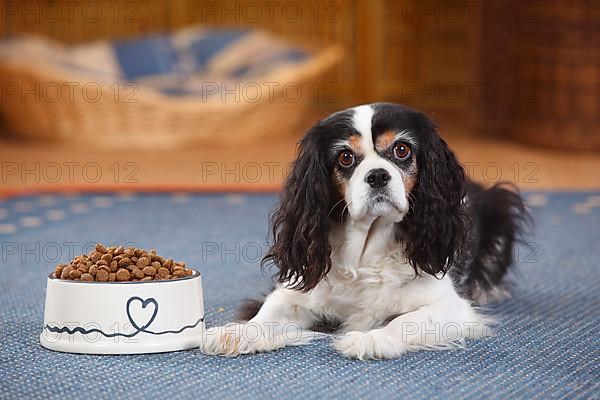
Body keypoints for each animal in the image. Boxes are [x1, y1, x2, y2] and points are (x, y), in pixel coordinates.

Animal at [203, 103, 528, 360]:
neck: (367, 248)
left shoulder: (451, 307)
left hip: (501, 203)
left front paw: (372, 339)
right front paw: (237, 334)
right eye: (345, 157)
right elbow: (267, 314)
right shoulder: (294, 293)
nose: (378, 176)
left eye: (401, 150)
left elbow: (406, 321)